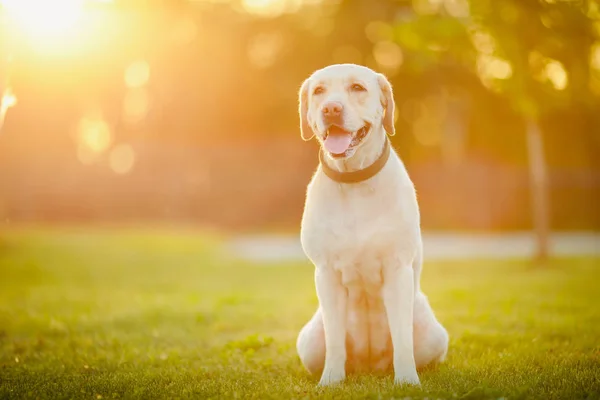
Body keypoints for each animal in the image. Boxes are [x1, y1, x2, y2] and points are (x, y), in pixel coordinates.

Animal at [292, 64, 448, 386]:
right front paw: (330, 381)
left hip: (433, 334)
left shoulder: (397, 269)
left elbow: (402, 338)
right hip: (309, 342)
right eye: (319, 91)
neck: (354, 180)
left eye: (357, 88)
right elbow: (335, 340)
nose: (331, 108)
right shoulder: (327, 274)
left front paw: (407, 380)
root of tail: (370, 365)